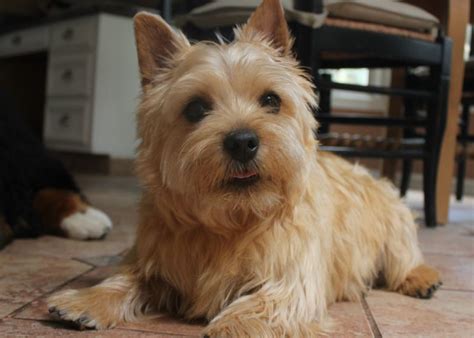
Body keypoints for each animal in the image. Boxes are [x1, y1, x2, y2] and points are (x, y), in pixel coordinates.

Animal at [46, 0, 442, 336]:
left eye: (271, 100)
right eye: (195, 108)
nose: (242, 142)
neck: (234, 220)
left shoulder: (292, 282)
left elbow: (263, 304)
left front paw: (231, 327)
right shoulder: (153, 261)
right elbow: (126, 278)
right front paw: (88, 299)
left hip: (394, 221)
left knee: (406, 256)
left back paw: (421, 278)